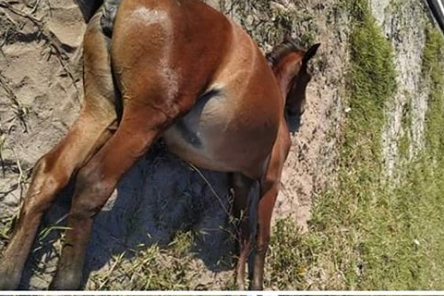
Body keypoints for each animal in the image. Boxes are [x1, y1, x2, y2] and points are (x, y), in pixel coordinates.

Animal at [0, 0, 320, 292]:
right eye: (309, 75)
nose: (299, 110)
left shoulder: (241, 181)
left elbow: (242, 233)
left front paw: (239, 282)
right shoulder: (270, 182)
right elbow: (261, 237)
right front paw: (255, 284)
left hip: (102, 111)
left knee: (52, 172)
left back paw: (10, 273)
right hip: (147, 120)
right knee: (94, 182)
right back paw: (65, 281)